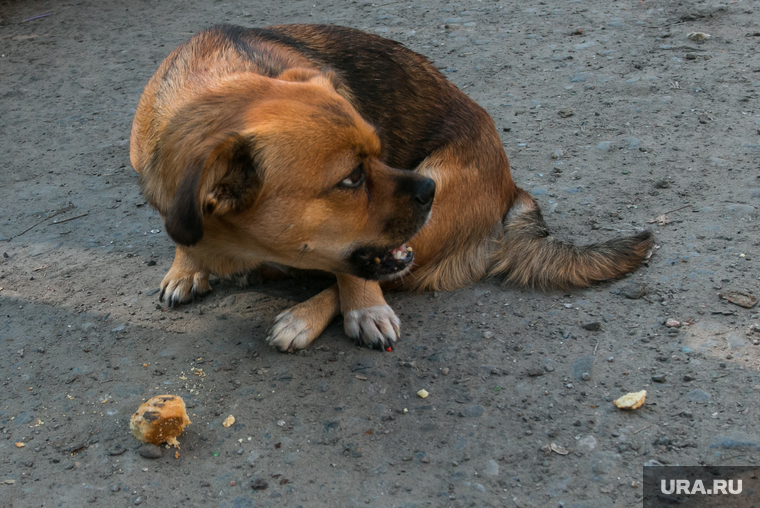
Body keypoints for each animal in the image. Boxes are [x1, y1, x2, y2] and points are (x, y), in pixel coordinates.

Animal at [131, 23, 652, 354]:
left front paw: (362, 307)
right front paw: (186, 266)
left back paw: (305, 313)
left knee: (392, 276)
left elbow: (355, 274)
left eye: (380, 152)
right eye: (351, 178)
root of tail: (510, 184)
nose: (429, 189)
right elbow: (184, 237)